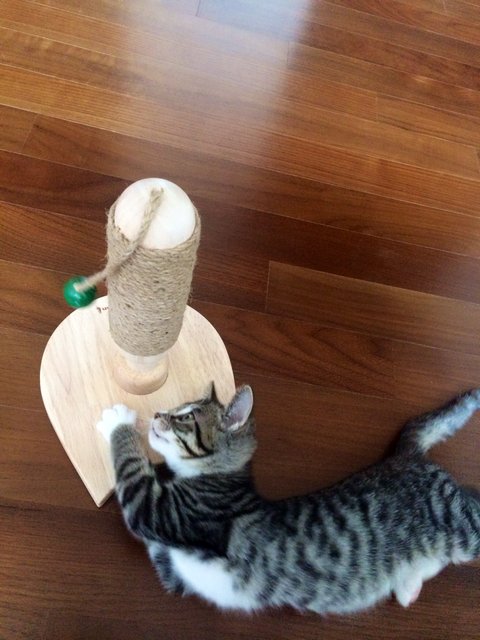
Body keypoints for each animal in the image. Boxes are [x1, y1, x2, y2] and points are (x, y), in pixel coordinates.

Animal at [97, 385, 480, 614]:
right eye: (177, 408)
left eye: (186, 417)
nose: (157, 415)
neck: (214, 476)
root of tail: (403, 457)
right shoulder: (176, 573)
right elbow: (154, 544)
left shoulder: (158, 510)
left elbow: (132, 470)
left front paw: (117, 421)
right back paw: (407, 585)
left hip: (463, 526)